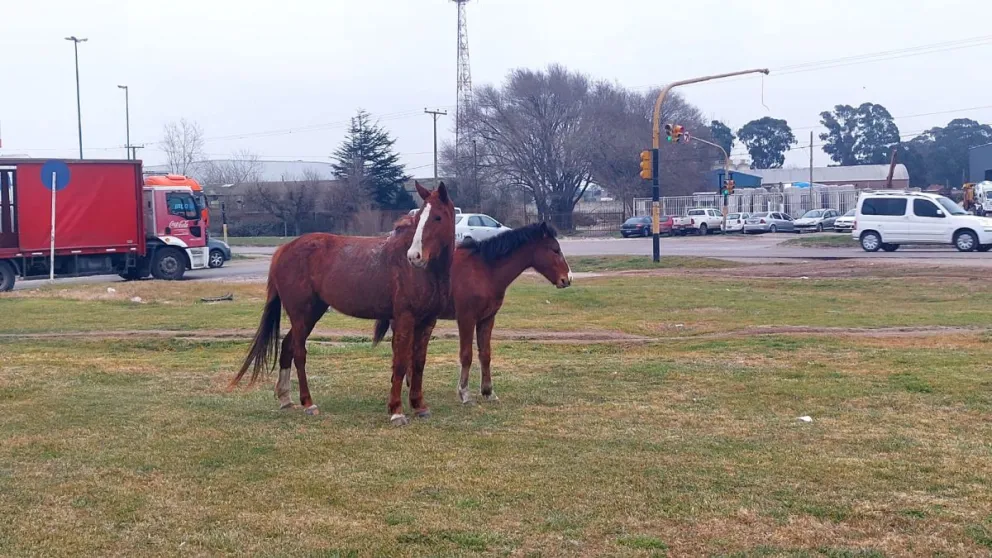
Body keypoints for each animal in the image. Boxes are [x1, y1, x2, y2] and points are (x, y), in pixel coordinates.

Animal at [230, 182, 456, 426]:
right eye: (418, 218)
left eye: (437, 217)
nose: (414, 256)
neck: (425, 273)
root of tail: (283, 250)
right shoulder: (405, 319)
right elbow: (401, 362)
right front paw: (397, 411)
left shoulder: (428, 321)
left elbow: (418, 363)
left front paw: (419, 406)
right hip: (301, 315)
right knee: (299, 352)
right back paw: (308, 403)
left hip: (311, 314)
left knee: (287, 346)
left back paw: (285, 399)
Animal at [371, 221, 572, 404]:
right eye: (555, 250)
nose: (567, 279)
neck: (484, 270)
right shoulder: (466, 319)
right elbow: (466, 355)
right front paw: (464, 393)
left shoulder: (487, 319)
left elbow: (485, 354)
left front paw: (488, 391)